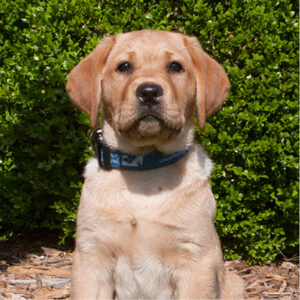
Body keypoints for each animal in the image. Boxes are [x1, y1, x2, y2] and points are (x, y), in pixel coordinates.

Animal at [66, 29, 244, 298]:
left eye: (175, 67)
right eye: (124, 66)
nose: (149, 91)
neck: (144, 167)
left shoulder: (196, 259)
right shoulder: (91, 257)